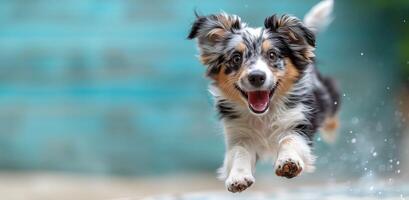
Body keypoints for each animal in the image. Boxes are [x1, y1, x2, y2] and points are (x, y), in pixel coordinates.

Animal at [187, 0, 338, 194]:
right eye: (236, 58)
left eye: (272, 55)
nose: (257, 77)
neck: (263, 116)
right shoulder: (237, 134)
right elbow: (240, 152)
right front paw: (238, 177)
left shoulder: (299, 123)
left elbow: (289, 139)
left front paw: (288, 162)